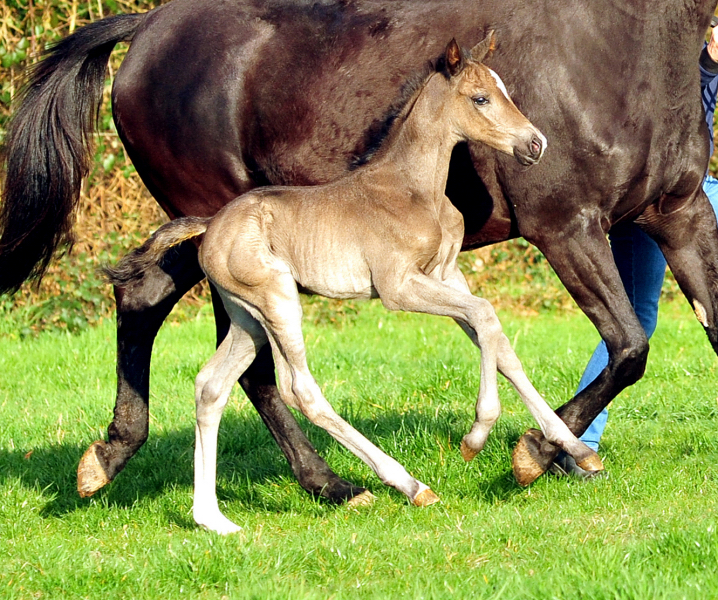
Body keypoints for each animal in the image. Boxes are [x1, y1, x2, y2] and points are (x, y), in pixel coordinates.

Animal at [107, 36, 600, 536]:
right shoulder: (399, 287)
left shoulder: (447, 275)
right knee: (301, 391)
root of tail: (209, 226)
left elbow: (497, 342)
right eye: (480, 98)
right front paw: (476, 436)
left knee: (211, 385)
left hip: (248, 318)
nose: (535, 144)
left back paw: (212, 519)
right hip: (278, 301)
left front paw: (575, 450)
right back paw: (407, 485)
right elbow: (484, 314)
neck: (413, 189)